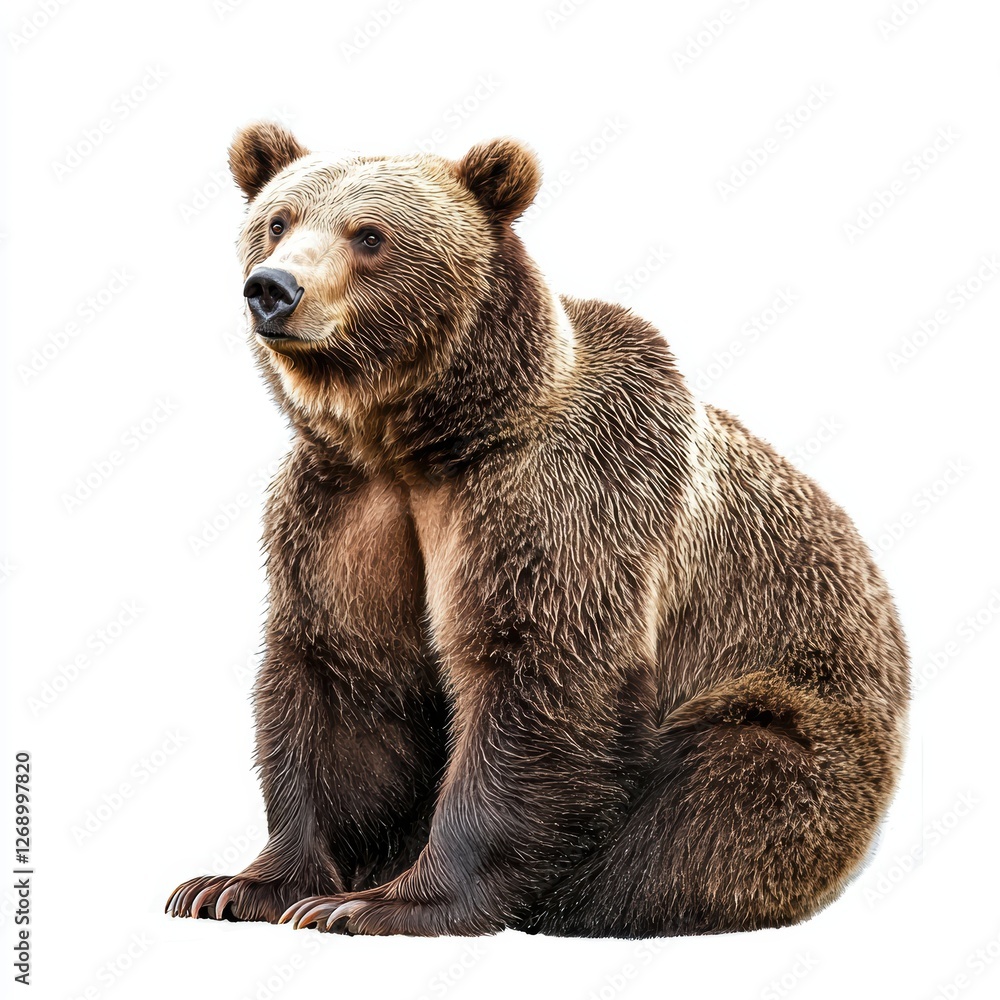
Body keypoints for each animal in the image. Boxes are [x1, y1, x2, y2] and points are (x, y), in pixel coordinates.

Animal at [165, 121, 909, 937]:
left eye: (370, 235)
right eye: (278, 219)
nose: (273, 288)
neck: (421, 444)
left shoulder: (559, 500)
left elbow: (537, 673)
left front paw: (378, 902)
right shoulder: (342, 513)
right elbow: (340, 676)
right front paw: (236, 887)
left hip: (798, 711)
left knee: (718, 792)